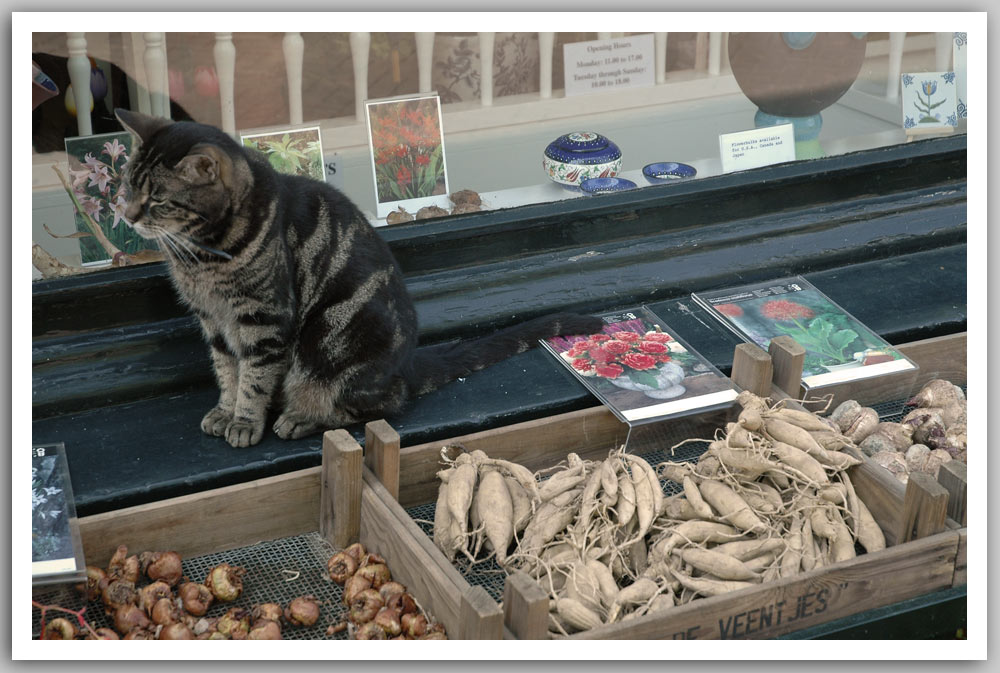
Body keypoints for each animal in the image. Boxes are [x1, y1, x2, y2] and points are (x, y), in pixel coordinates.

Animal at [117, 109, 600, 446]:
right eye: (128, 187)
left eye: (158, 200)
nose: (127, 214)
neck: (202, 255)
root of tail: (406, 365)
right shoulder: (214, 321)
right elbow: (226, 370)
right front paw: (224, 410)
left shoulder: (264, 319)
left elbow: (253, 379)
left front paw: (243, 421)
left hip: (329, 352)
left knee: (382, 404)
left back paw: (300, 417)